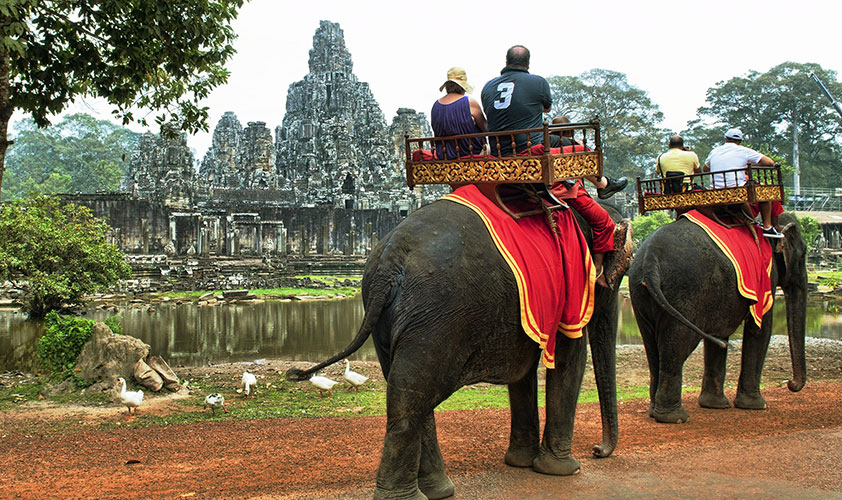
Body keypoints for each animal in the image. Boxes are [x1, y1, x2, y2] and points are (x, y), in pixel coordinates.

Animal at [287, 197, 633, 500]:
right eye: (619, 271)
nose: (597, 451)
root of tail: (388, 260)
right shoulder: (571, 284)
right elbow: (569, 356)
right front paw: (562, 470)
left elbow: (523, 371)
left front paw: (521, 462)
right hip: (437, 312)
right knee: (410, 399)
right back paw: (409, 497)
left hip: (390, 312)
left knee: (410, 391)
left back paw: (438, 490)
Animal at [628, 212, 807, 424]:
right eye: (803, 255)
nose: (790, 384)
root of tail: (650, 258)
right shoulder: (765, 277)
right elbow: (760, 328)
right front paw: (757, 406)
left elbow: (720, 332)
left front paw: (715, 405)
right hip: (684, 294)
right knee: (677, 346)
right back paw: (675, 418)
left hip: (639, 293)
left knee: (652, 347)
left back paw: (654, 412)